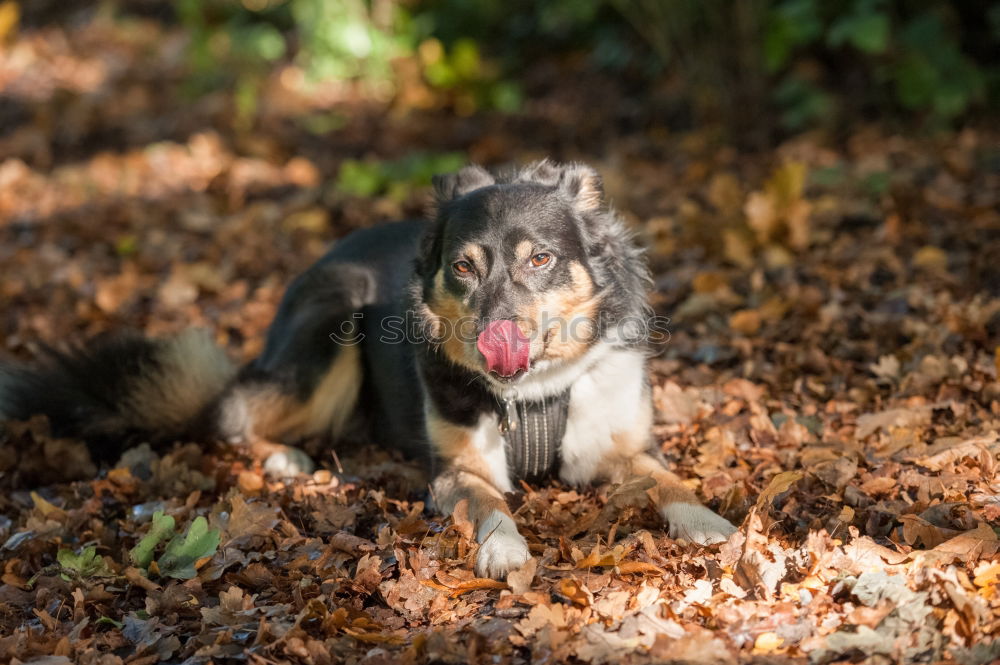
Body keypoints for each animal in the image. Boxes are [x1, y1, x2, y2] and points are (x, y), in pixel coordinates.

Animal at [0, 160, 736, 576]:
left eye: (540, 259)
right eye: (463, 266)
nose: (493, 339)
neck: (535, 392)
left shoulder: (622, 446)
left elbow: (669, 479)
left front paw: (711, 526)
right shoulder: (455, 471)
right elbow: (492, 501)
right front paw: (503, 548)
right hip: (335, 316)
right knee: (230, 412)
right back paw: (285, 457)